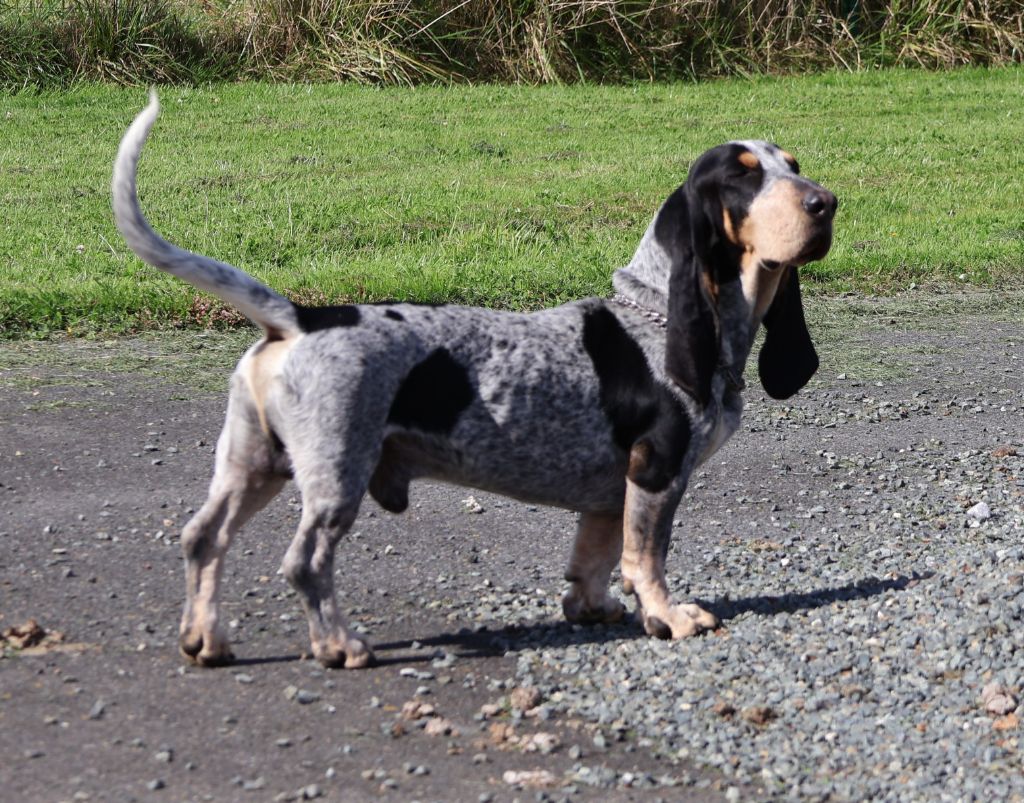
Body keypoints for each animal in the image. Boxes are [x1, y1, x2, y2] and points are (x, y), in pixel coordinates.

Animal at [112, 92, 835, 671]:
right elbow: (646, 558)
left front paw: (591, 607)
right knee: (305, 563)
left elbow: (595, 558)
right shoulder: (656, 471)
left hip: (254, 465)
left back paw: (206, 640)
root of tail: (299, 317)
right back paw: (340, 646)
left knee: (203, 539)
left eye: (793, 165)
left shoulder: (611, 491)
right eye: (743, 179)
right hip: (336, 473)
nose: (826, 203)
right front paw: (668, 617)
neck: (652, 308)